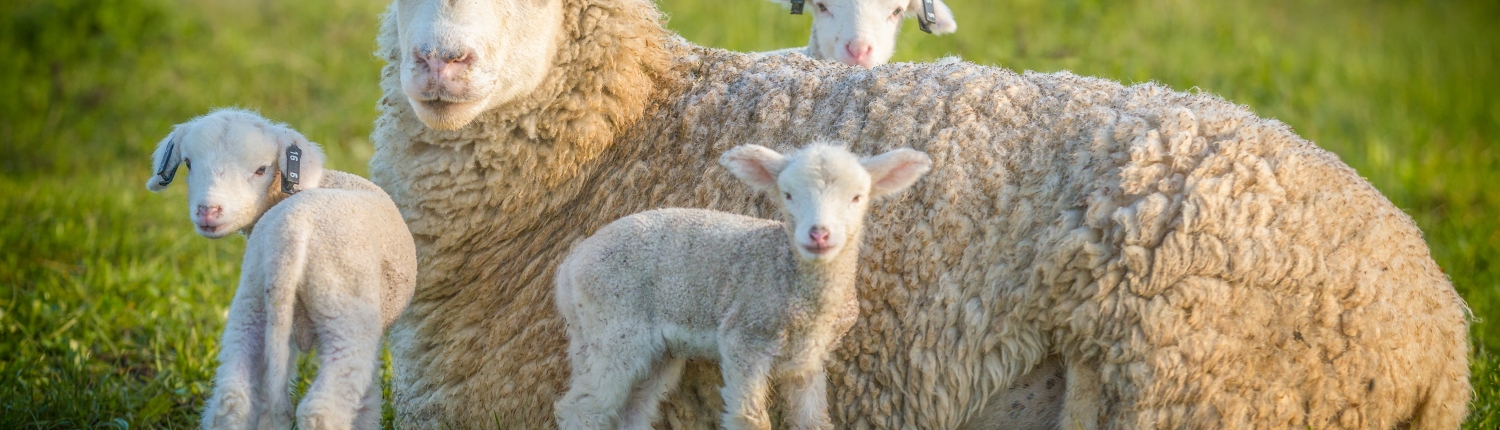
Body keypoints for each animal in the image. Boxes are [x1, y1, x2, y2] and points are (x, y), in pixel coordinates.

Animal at [146, 109, 416, 430]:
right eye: (188, 163)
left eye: (261, 169)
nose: (208, 212)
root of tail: (291, 234)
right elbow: (369, 399)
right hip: (345, 310)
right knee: (323, 408)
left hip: (252, 304)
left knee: (232, 399)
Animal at [554, 143, 932, 430]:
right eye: (788, 194)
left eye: (857, 197)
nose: (819, 234)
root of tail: (568, 268)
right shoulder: (744, 339)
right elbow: (751, 419)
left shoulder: (809, 359)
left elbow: (813, 421)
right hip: (613, 326)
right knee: (582, 408)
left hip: (643, 347)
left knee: (633, 410)